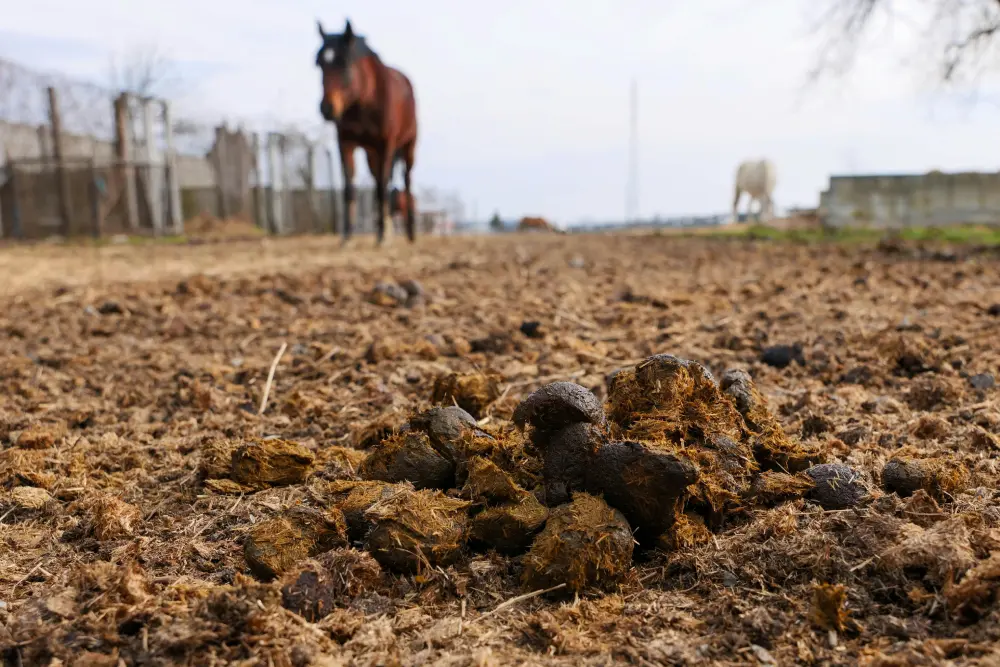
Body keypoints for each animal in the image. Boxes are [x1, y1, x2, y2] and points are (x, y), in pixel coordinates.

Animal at [316, 19, 418, 245]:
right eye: (319, 64)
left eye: (345, 63)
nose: (327, 108)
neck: (363, 102)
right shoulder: (345, 143)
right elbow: (349, 188)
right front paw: (347, 236)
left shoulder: (387, 144)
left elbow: (382, 188)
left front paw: (382, 236)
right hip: (372, 154)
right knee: (380, 179)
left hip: (408, 146)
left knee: (406, 181)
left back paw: (408, 232)